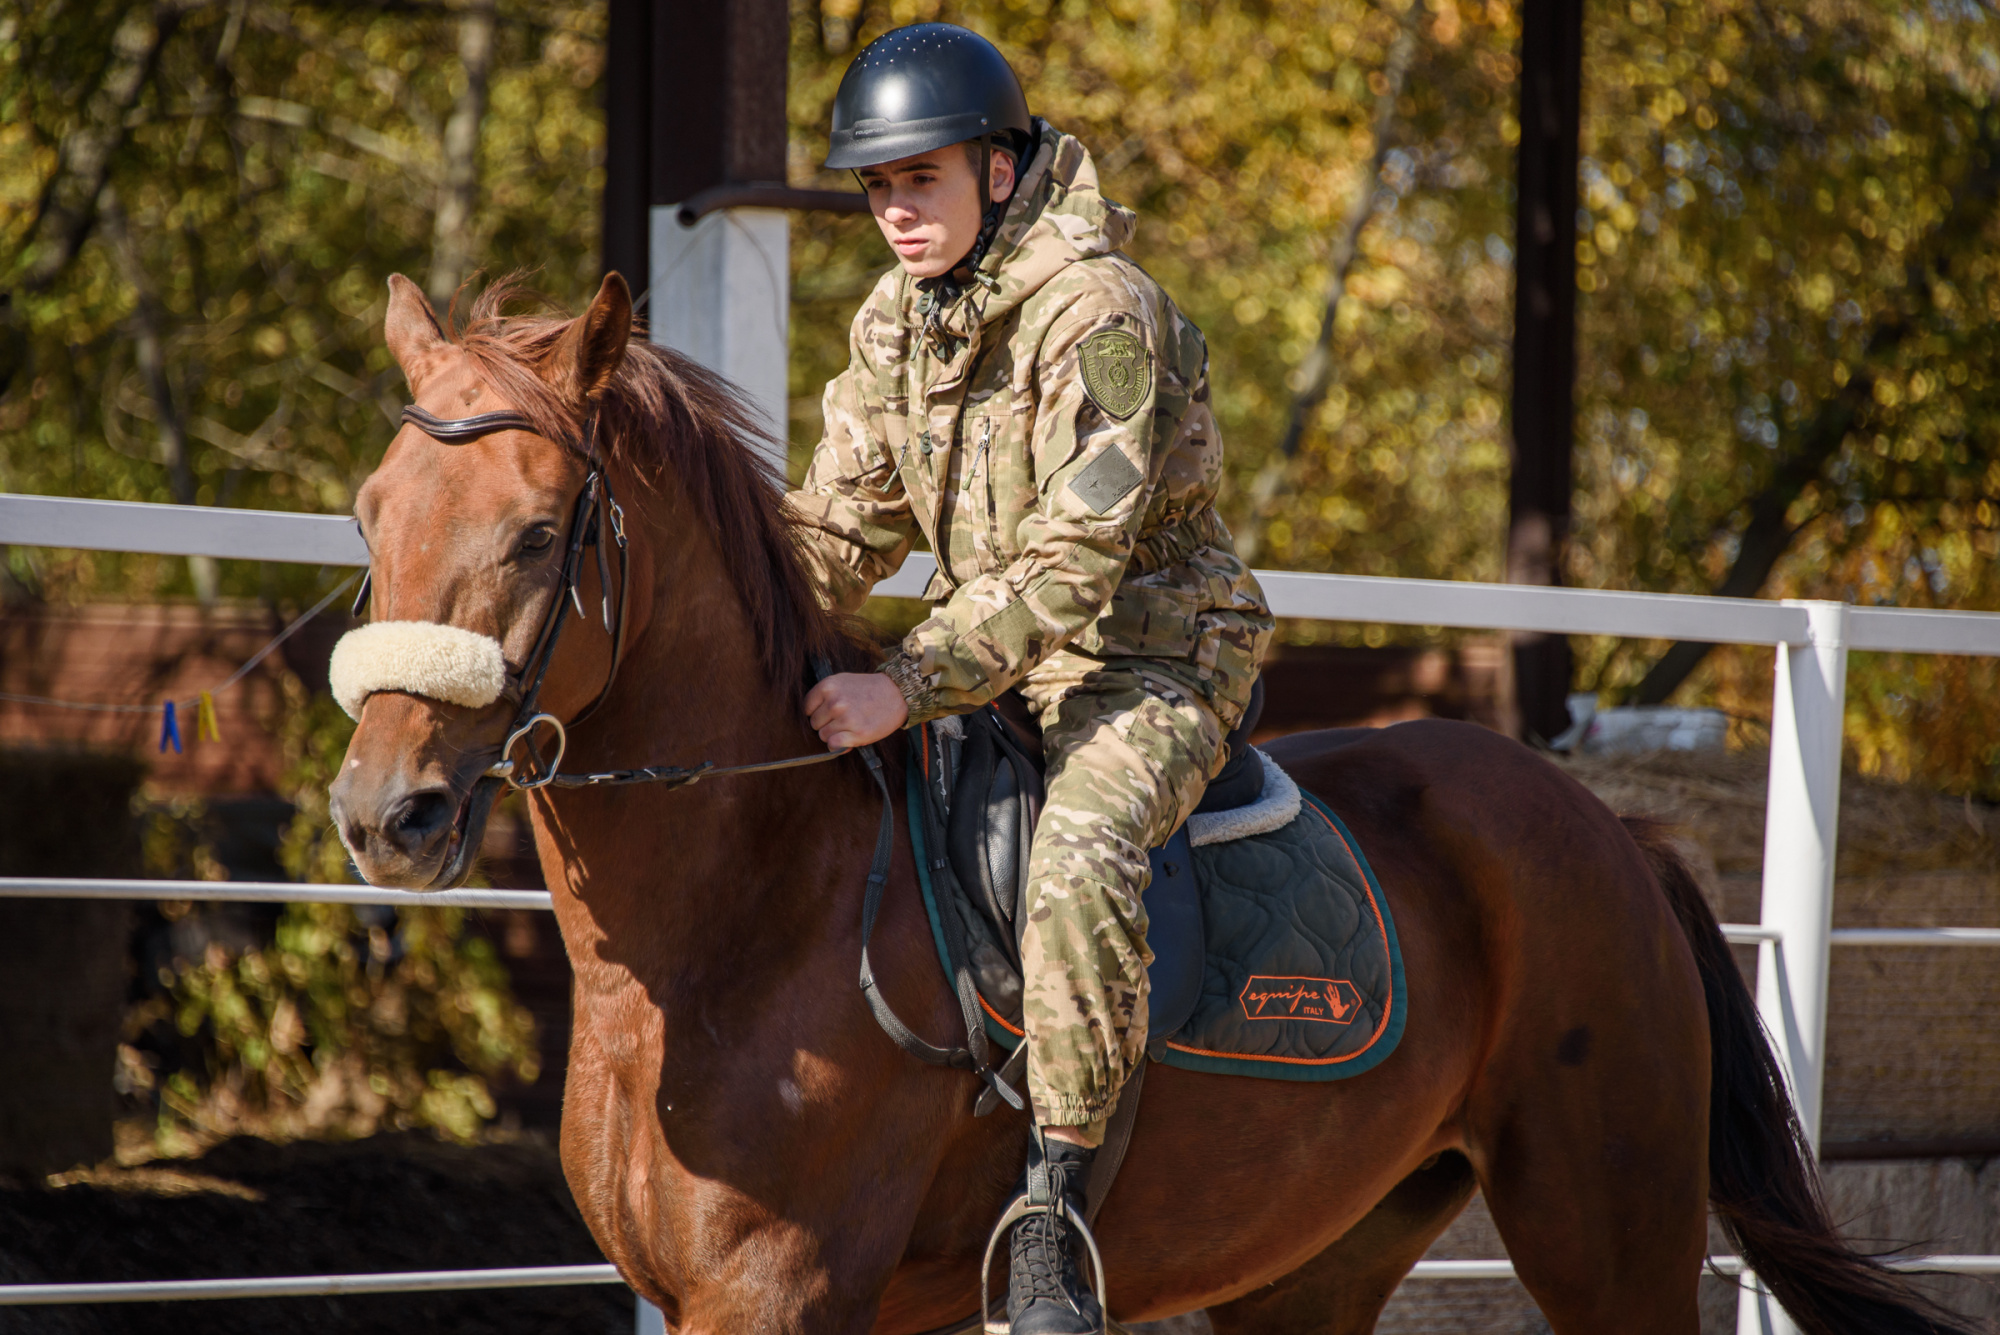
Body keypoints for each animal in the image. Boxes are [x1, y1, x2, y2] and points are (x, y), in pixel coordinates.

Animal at [328, 273, 1968, 1335]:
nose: (381, 811)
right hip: (1316, 1264)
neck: (745, 923)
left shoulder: (778, 1294)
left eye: (539, 530)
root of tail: (1611, 835)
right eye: (368, 512)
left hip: (1605, 1238)